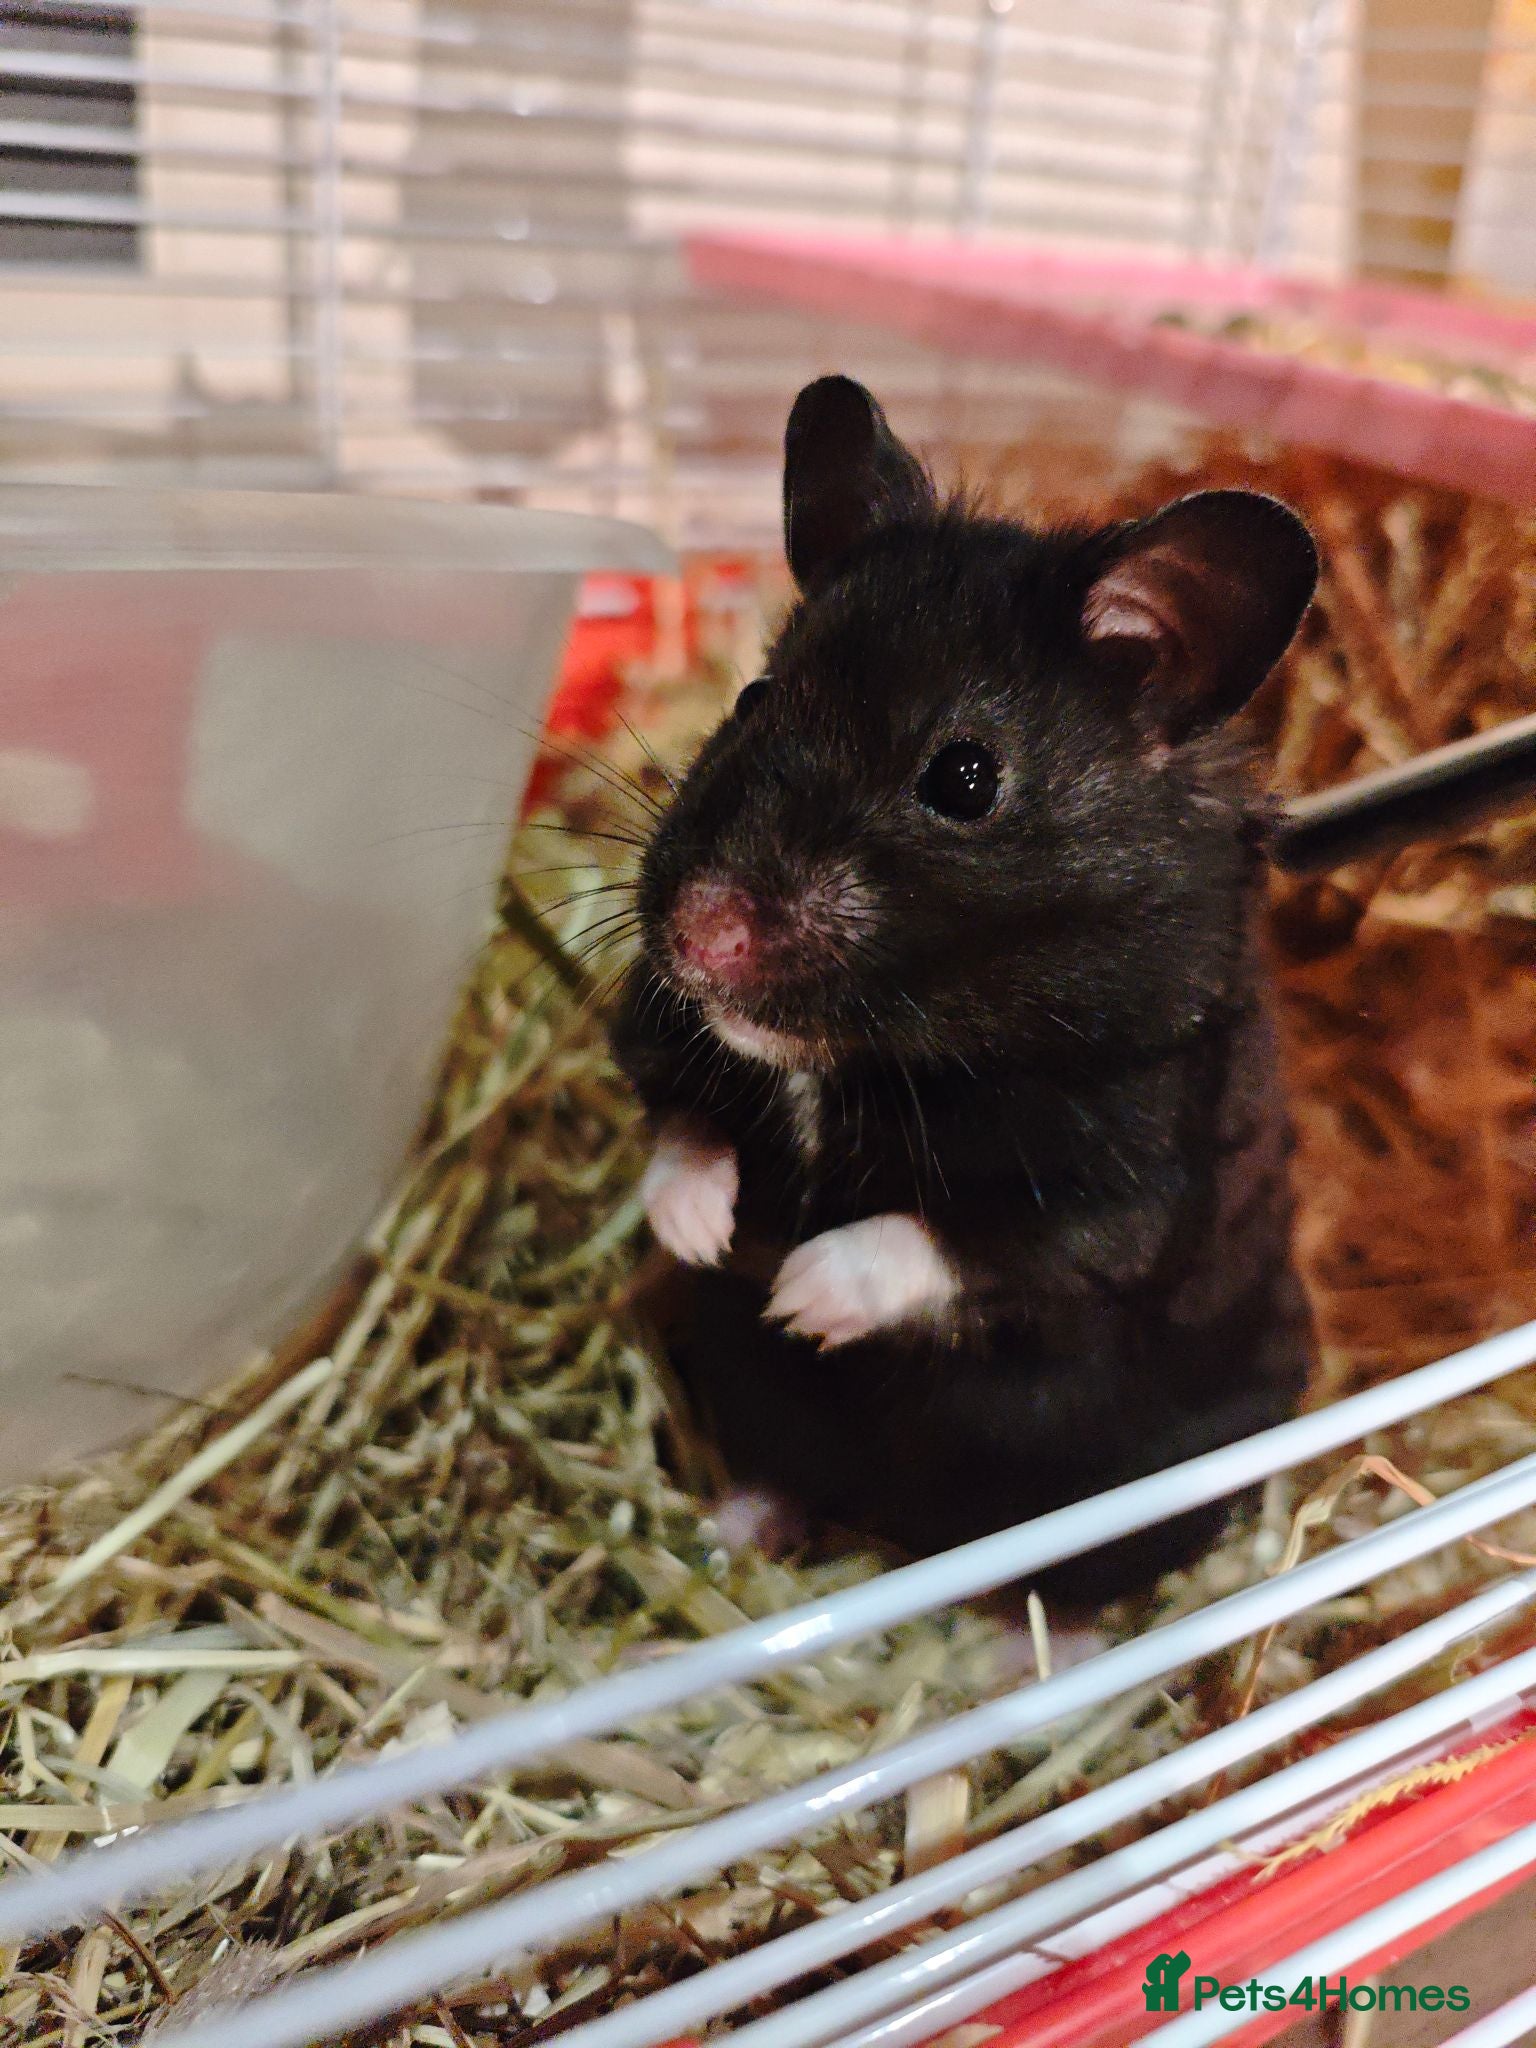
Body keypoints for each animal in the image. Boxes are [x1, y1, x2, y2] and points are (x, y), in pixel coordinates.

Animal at [610, 375, 1320, 1605]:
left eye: (966, 777)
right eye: (751, 698)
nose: (700, 938)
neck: (858, 1053)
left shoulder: (1122, 1190)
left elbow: (962, 1243)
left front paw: (798, 1291)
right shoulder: (655, 1030)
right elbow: (679, 1128)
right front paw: (708, 1235)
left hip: (1137, 1488)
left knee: (1072, 1579)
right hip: (763, 1412)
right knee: (785, 1475)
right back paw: (728, 1531)